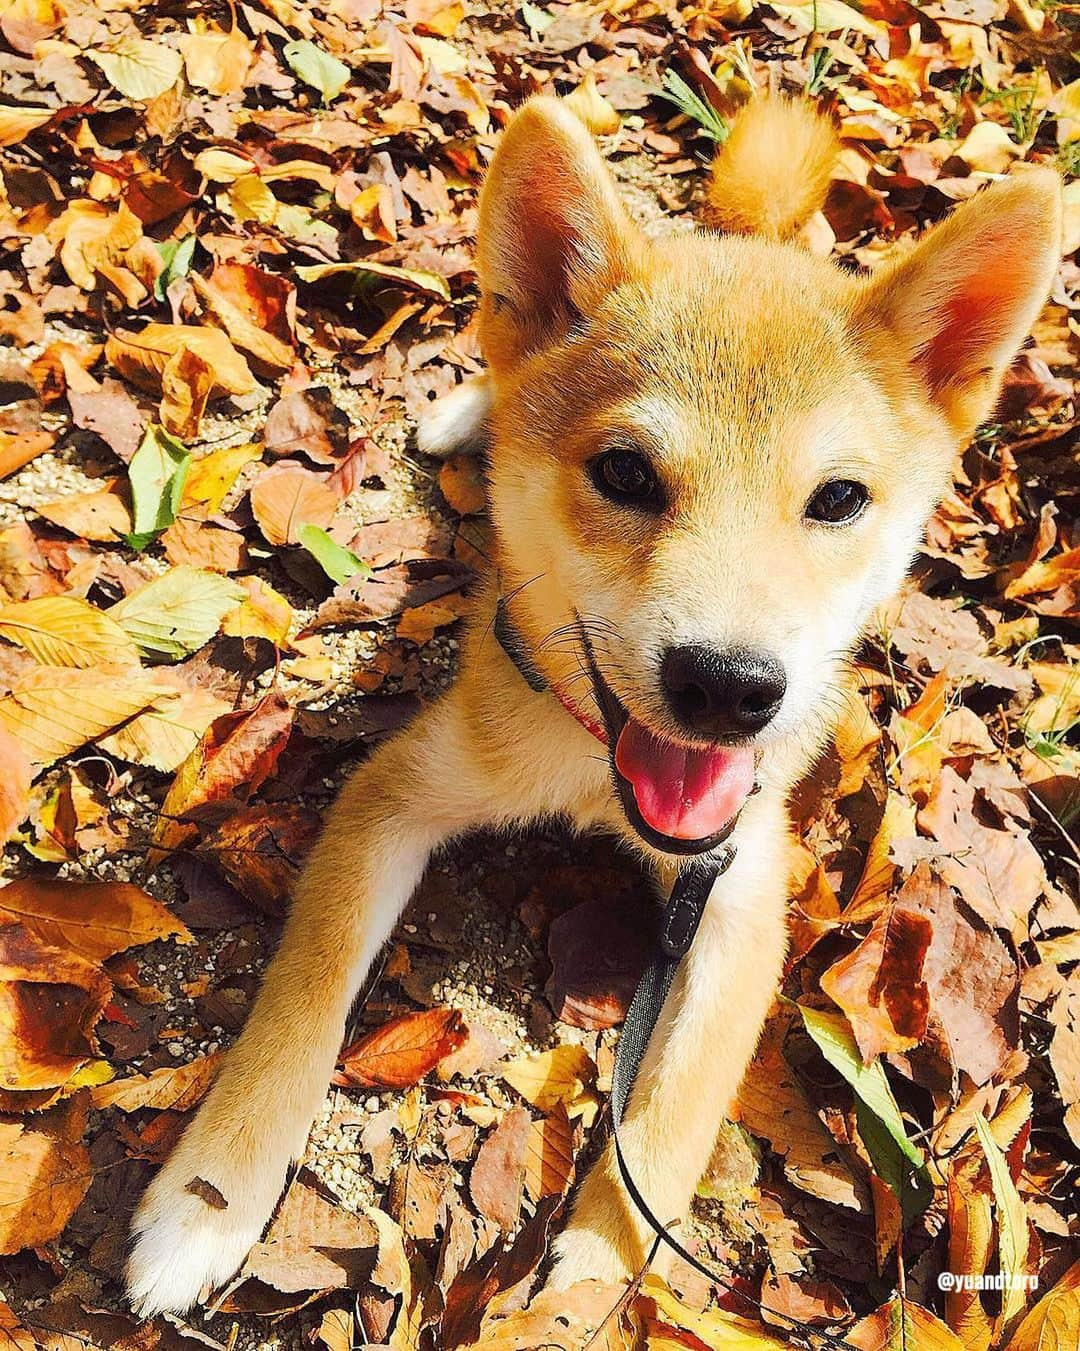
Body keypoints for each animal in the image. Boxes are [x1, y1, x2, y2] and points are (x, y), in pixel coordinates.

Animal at [129, 92, 1065, 1307]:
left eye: (839, 499)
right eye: (624, 473)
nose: (728, 688)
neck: (594, 777)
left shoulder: (738, 886)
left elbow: (670, 1117)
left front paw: (587, 1280)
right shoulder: (393, 792)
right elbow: (303, 995)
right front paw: (212, 1196)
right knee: (501, 353)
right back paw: (468, 413)